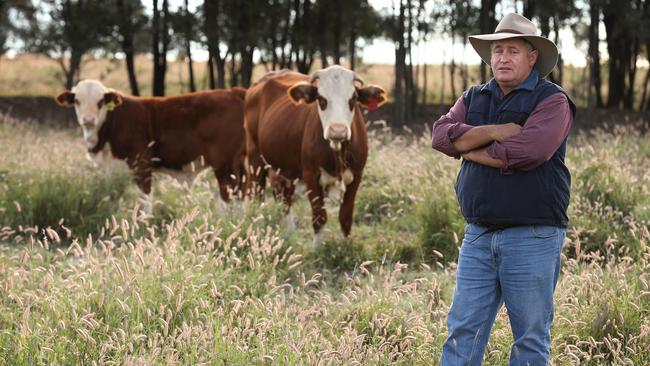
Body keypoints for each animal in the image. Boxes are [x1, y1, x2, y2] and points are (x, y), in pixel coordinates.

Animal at [56, 78, 246, 213]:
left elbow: (145, 197)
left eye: (100, 101)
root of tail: (234, 91)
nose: (88, 119)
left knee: (227, 194)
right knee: (241, 193)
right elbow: (113, 196)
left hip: (224, 164)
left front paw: (144, 223)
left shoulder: (142, 164)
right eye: (77, 101)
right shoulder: (113, 169)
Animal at [242, 66, 384, 243]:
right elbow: (319, 217)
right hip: (255, 158)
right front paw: (318, 248)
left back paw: (289, 232)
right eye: (321, 100)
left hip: (283, 168)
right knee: (255, 194)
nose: (338, 131)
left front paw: (345, 246)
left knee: (283, 195)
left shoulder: (356, 175)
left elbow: (345, 217)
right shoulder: (311, 175)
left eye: (353, 99)